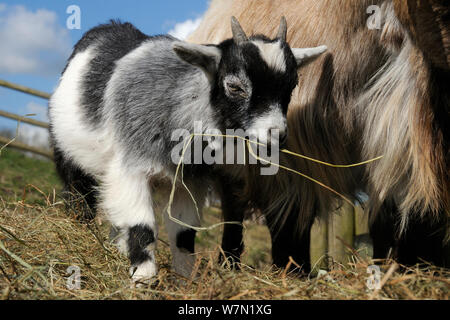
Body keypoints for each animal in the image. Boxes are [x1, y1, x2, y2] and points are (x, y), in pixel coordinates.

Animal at [190, 0, 450, 270]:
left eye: (292, 84)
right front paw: (292, 270)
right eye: (235, 87)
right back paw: (229, 262)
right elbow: (288, 224)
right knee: (234, 211)